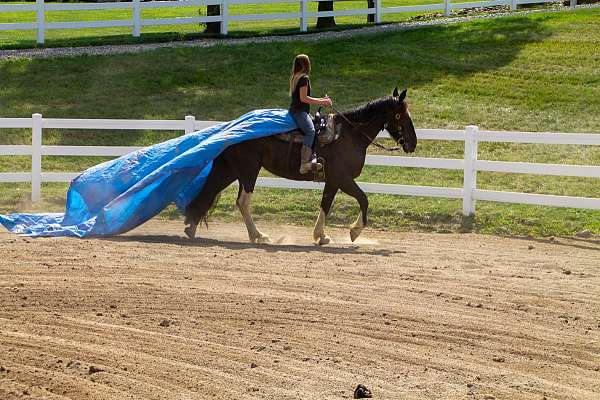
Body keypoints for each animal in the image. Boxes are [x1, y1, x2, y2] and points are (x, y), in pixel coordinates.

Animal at [185, 86, 414, 244]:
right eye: (400, 115)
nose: (412, 143)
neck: (349, 135)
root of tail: (232, 127)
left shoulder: (333, 181)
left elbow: (326, 204)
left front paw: (321, 236)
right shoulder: (342, 178)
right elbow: (363, 199)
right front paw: (354, 231)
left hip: (233, 170)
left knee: (210, 191)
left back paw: (191, 227)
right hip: (249, 171)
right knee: (242, 202)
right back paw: (258, 235)